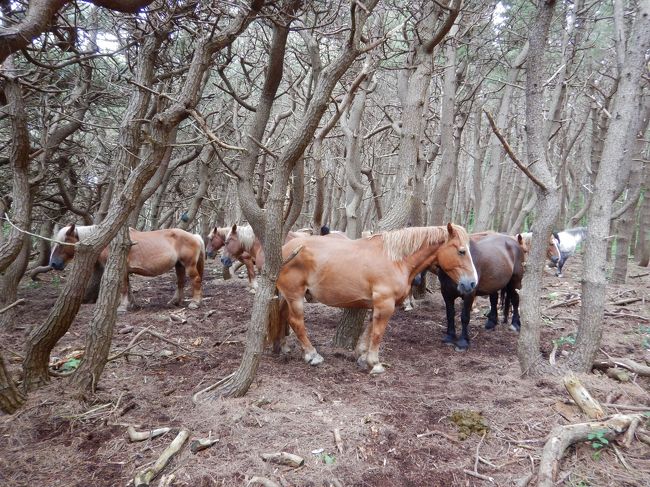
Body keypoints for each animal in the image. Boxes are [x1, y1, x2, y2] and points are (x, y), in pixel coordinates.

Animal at [49, 224, 204, 308]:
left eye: (61, 244)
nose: (53, 264)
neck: (110, 243)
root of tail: (194, 236)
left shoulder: (121, 269)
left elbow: (123, 287)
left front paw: (122, 307)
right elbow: (128, 287)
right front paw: (132, 304)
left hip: (189, 265)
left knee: (195, 280)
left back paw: (194, 303)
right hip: (179, 265)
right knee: (180, 282)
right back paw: (175, 301)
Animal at [268, 223, 476, 376]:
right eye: (461, 251)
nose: (472, 283)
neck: (395, 260)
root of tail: (285, 250)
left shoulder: (377, 305)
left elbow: (369, 329)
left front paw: (362, 356)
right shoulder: (385, 304)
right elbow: (377, 333)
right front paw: (374, 363)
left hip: (288, 296)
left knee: (283, 316)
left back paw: (284, 347)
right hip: (295, 296)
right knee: (296, 322)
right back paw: (312, 355)